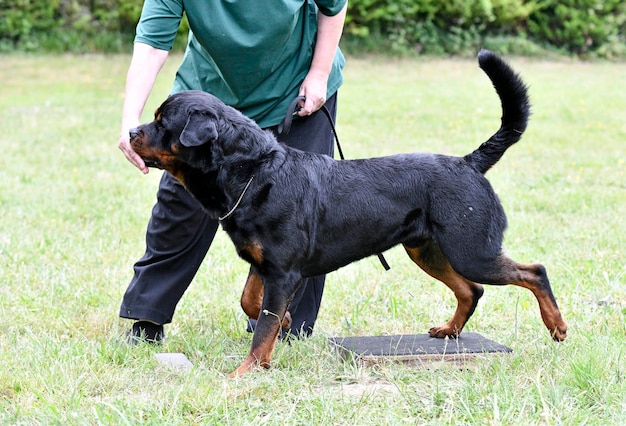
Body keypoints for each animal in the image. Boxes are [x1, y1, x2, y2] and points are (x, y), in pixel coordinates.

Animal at [128, 50, 564, 376]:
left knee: (532, 272)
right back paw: (450, 330)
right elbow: (252, 303)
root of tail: (468, 162)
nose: (131, 131)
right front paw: (284, 327)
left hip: (470, 248)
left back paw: (556, 326)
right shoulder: (265, 265)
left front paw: (245, 371)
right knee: (471, 290)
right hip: (427, 249)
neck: (252, 173)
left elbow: (262, 323)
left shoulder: (283, 271)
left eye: (163, 123)